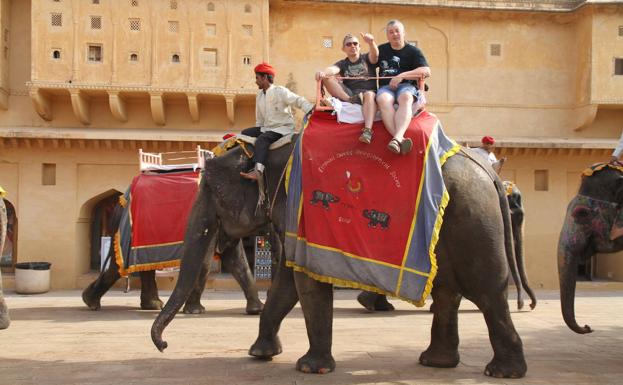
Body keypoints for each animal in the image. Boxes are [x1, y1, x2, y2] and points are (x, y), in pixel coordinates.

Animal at [81, 200, 264, 314]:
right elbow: (205, 262)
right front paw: (195, 311)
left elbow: (237, 262)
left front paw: (256, 310)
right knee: (119, 266)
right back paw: (91, 303)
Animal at [151, 136, 528, 376]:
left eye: (209, 190)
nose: (165, 345)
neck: (268, 151)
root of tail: (490, 172)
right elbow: (287, 281)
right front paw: (260, 354)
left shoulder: (300, 207)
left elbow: (303, 279)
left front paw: (309, 368)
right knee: (448, 291)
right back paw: (436, 363)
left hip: (473, 220)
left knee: (487, 292)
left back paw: (502, 372)